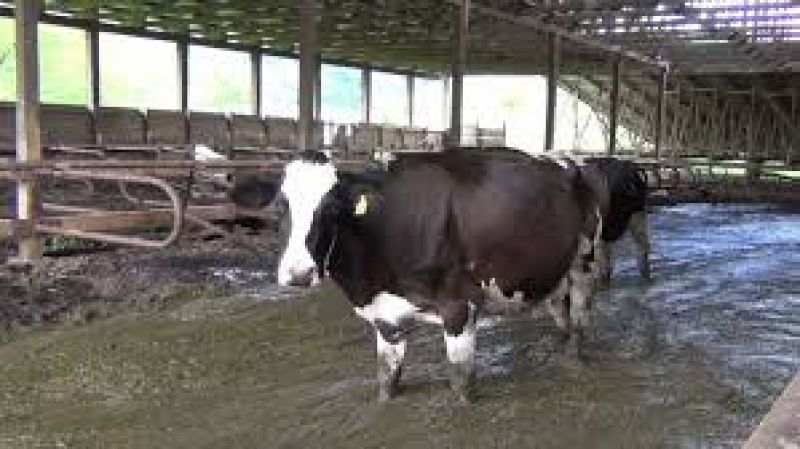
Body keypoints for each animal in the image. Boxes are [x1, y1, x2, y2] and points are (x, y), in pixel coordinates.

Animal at [237, 148, 603, 402]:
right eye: (280, 207)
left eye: (331, 209)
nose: (299, 273)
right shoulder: (386, 315)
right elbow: (386, 380)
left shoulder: (460, 305)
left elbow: (460, 382)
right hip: (552, 271)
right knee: (560, 310)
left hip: (586, 261)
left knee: (580, 318)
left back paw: (574, 361)